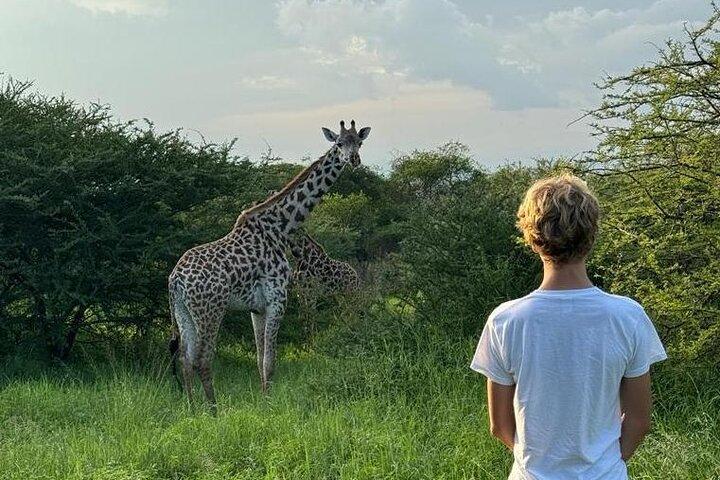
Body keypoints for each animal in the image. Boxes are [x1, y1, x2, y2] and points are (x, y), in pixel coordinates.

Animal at [168, 120, 371, 410]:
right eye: (339, 143)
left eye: (359, 143)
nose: (353, 160)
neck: (281, 228)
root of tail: (175, 280)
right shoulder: (278, 298)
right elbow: (270, 361)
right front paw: (270, 406)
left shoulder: (257, 307)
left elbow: (259, 360)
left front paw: (264, 401)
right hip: (210, 310)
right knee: (202, 360)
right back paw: (214, 411)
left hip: (183, 312)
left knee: (185, 359)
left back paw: (192, 409)